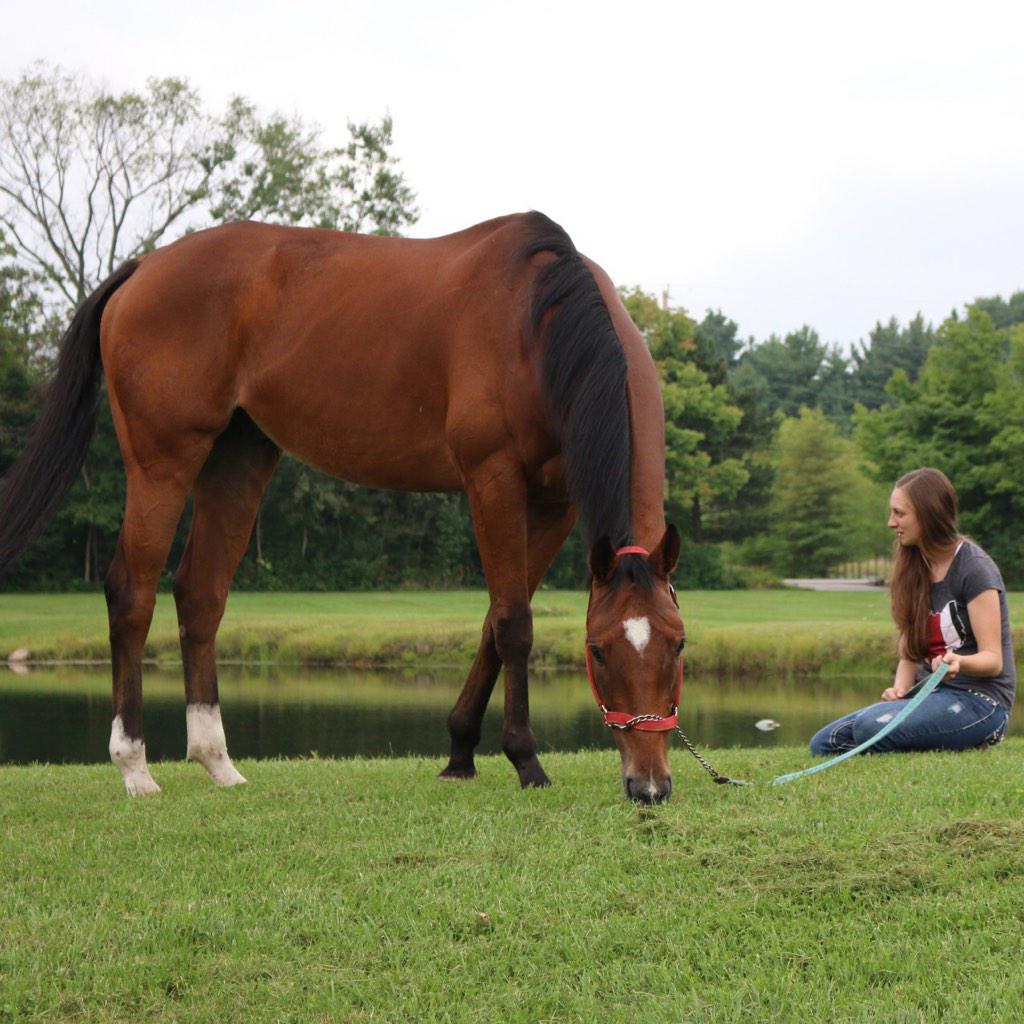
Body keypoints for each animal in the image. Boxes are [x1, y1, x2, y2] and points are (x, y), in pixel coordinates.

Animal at [0, 211, 686, 803]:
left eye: (677, 647)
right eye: (598, 651)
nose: (649, 785)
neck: (538, 324)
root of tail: (144, 266)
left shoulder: (555, 501)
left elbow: (494, 621)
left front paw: (460, 752)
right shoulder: (493, 480)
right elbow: (514, 624)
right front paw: (525, 760)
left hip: (238, 460)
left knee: (200, 595)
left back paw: (218, 762)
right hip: (162, 461)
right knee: (132, 593)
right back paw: (136, 767)